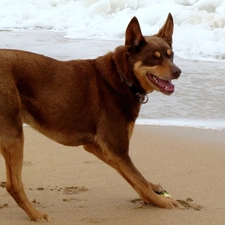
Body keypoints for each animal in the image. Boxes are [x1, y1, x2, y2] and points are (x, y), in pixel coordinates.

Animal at [0, 14, 181, 221]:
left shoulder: (99, 147)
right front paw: (162, 202)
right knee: (13, 185)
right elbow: (138, 178)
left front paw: (153, 192)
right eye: (153, 58)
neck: (122, 78)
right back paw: (35, 214)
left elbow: (136, 179)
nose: (178, 71)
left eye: (171, 55)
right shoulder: (117, 149)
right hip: (14, 136)